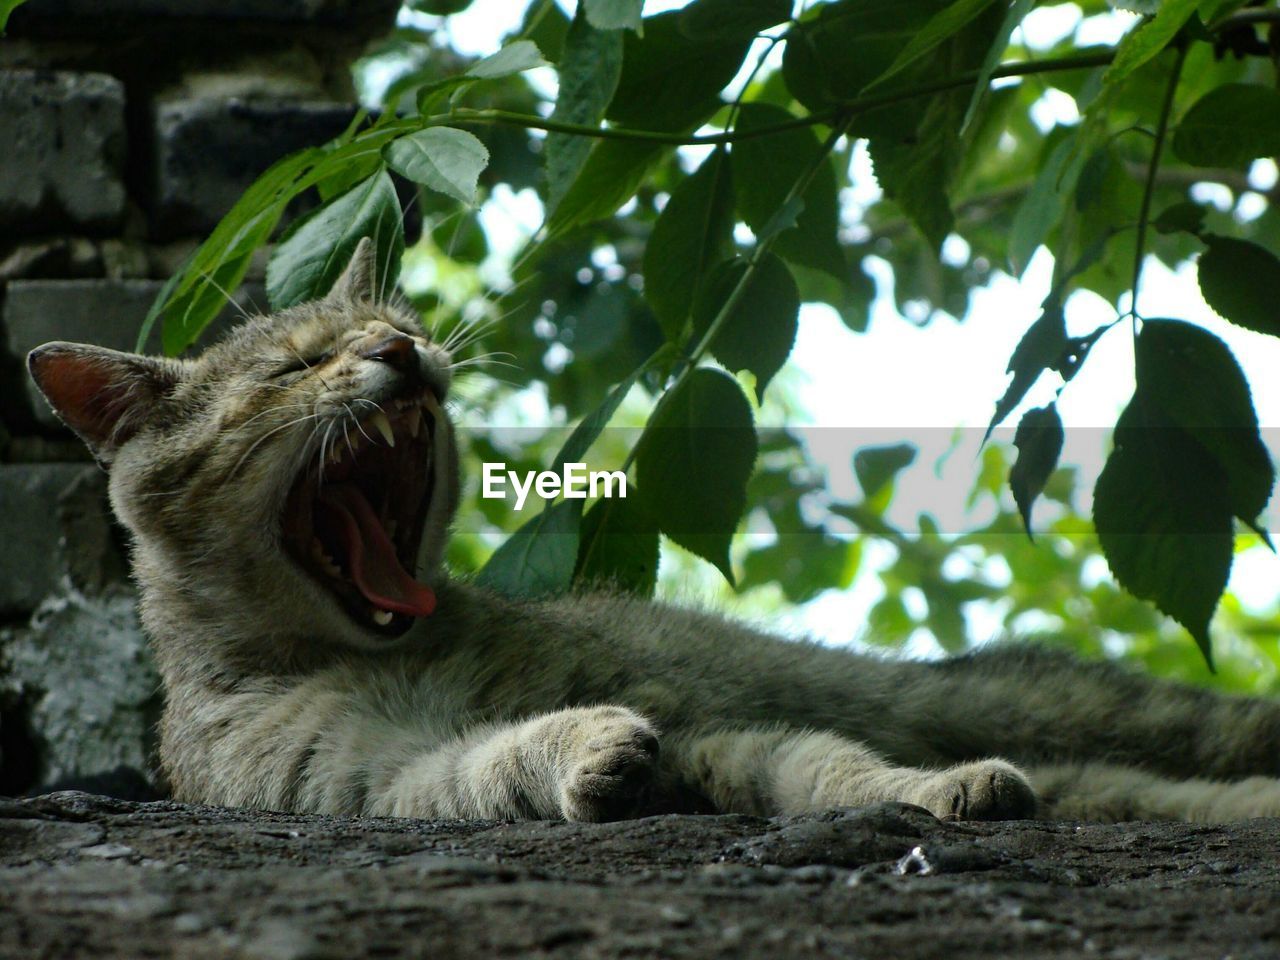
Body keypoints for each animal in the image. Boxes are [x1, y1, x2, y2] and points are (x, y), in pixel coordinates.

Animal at [22, 239, 1280, 829]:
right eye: (294, 367)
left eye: (396, 320)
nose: (397, 352)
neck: (385, 649)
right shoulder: (360, 780)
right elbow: (484, 764)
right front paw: (576, 750)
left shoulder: (722, 726)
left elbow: (826, 762)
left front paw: (927, 788)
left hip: (1053, 707)